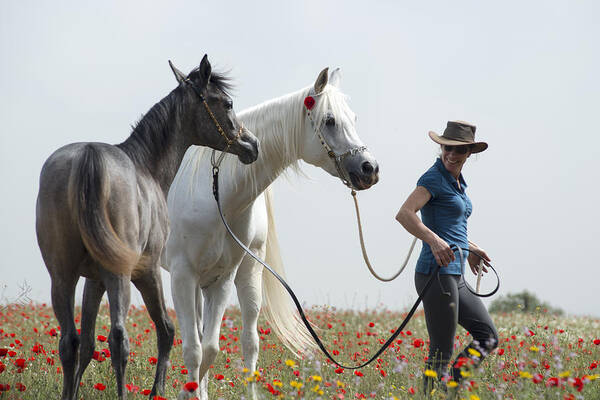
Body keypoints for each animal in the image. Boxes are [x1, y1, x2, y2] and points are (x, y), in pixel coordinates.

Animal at [35, 54, 258, 400]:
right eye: (227, 103)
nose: (252, 145)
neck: (146, 166)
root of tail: (88, 156)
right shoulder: (147, 272)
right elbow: (166, 331)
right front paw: (157, 390)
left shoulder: (93, 280)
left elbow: (87, 343)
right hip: (121, 276)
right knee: (119, 338)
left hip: (62, 276)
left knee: (69, 341)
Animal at [164, 67, 380, 398]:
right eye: (330, 120)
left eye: (353, 118)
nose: (370, 168)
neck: (214, 192)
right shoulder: (181, 275)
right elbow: (193, 349)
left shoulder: (224, 276)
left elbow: (213, 347)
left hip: (240, 275)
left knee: (244, 341)